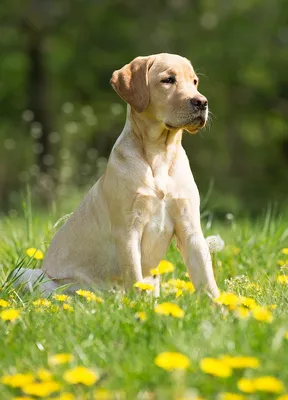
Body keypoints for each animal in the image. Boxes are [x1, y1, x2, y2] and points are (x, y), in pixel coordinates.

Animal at [11, 53, 218, 298]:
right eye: (168, 80)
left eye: (194, 82)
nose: (202, 102)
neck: (160, 154)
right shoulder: (127, 230)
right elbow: (134, 276)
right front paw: (138, 304)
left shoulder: (190, 228)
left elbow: (207, 278)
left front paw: (221, 306)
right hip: (25, 274)